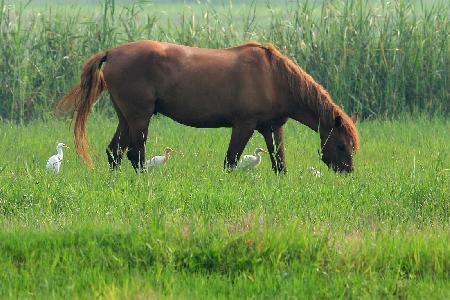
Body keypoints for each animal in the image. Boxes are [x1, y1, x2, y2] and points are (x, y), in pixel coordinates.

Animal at [56, 42, 358, 173]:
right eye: (341, 145)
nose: (347, 171)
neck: (273, 76)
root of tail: (112, 52)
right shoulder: (244, 125)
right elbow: (231, 160)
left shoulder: (271, 128)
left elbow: (279, 163)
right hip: (139, 118)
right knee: (134, 154)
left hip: (126, 118)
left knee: (115, 152)